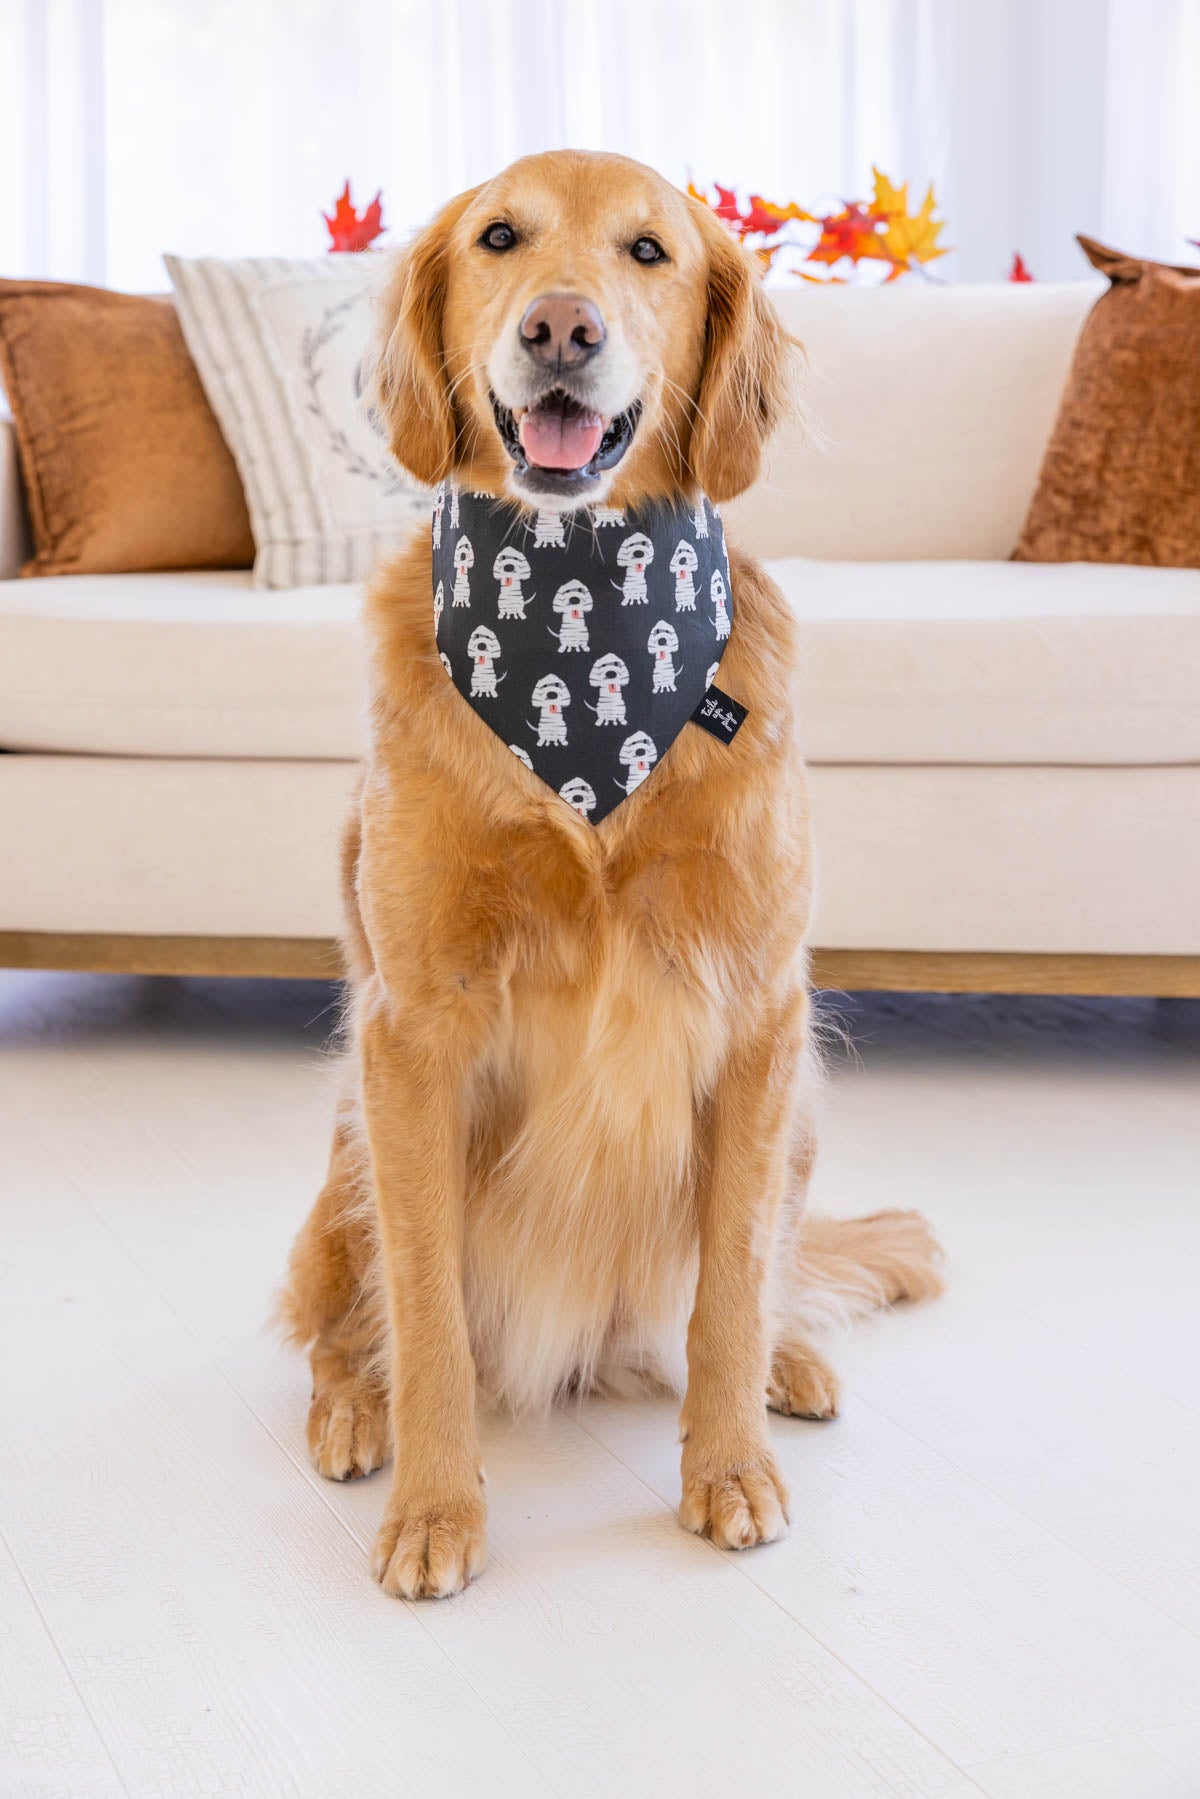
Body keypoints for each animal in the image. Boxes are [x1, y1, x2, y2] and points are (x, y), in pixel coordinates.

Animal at [280, 149, 942, 1601]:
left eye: (650, 250)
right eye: (499, 239)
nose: (559, 328)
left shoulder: (759, 1020)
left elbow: (734, 1285)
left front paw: (731, 1465)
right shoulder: (411, 1033)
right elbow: (424, 1303)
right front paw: (436, 1505)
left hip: (803, 1113)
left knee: (747, 1288)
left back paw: (793, 1364)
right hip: (348, 1132)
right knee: (340, 1318)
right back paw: (352, 1409)